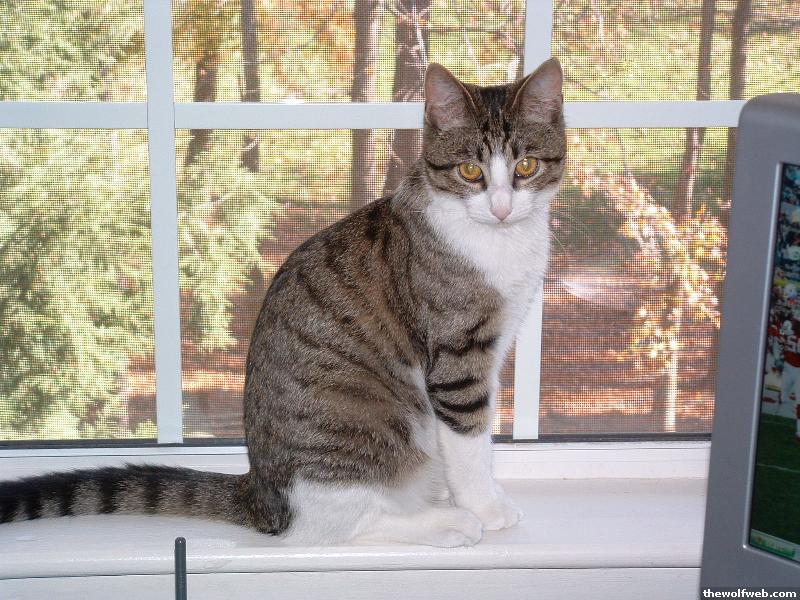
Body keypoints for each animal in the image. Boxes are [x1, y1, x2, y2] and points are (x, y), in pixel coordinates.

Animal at [0, 58, 566, 547]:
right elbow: (469, 440)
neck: (497, 240)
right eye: (470, 171)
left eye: (526, 165)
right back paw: (445, 523)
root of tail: (259, 492)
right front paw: (486, 506)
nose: (501, 207)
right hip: (356, 439)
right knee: (339, 522)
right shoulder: (457, 354)